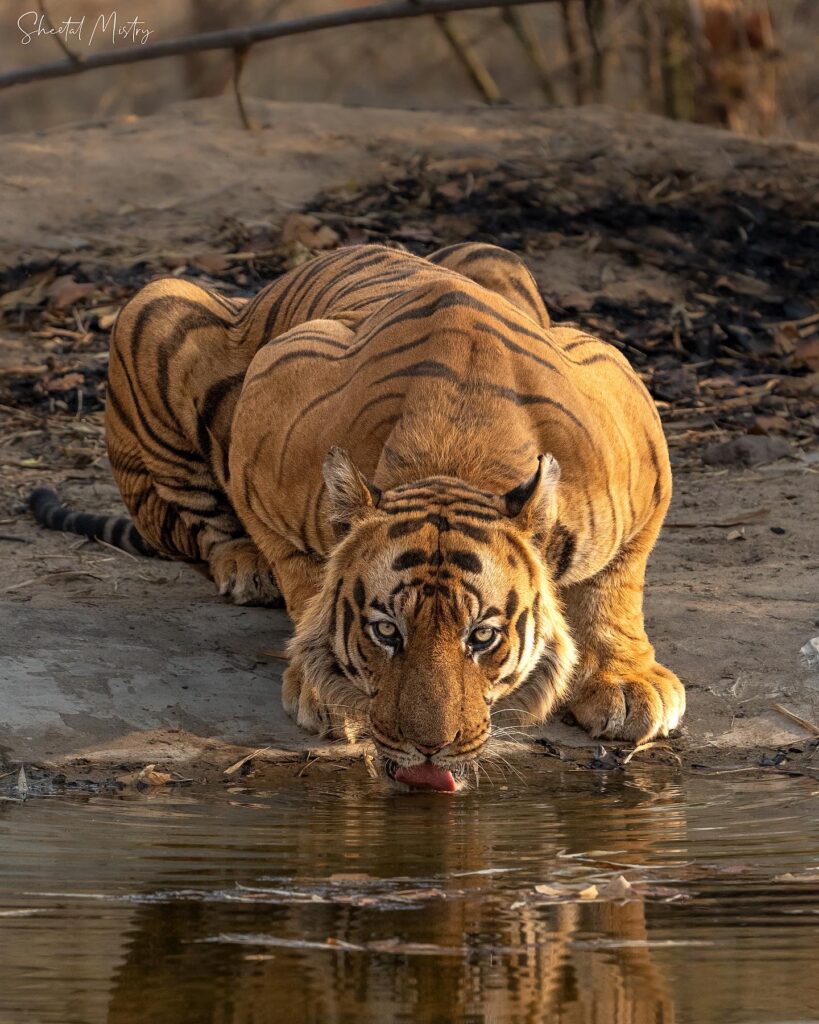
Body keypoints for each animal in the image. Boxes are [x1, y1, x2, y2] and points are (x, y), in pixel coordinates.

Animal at [29, 242, 685, 791]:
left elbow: (617, 585)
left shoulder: (636, 436)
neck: (456, 456)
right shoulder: (272, 397)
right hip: (156, 305)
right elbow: (302, 575)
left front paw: (628, 684)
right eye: (386, 631)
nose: (429, 750)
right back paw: (245, 565)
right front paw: (324, 685)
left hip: (495, 255)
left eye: (483, 637)